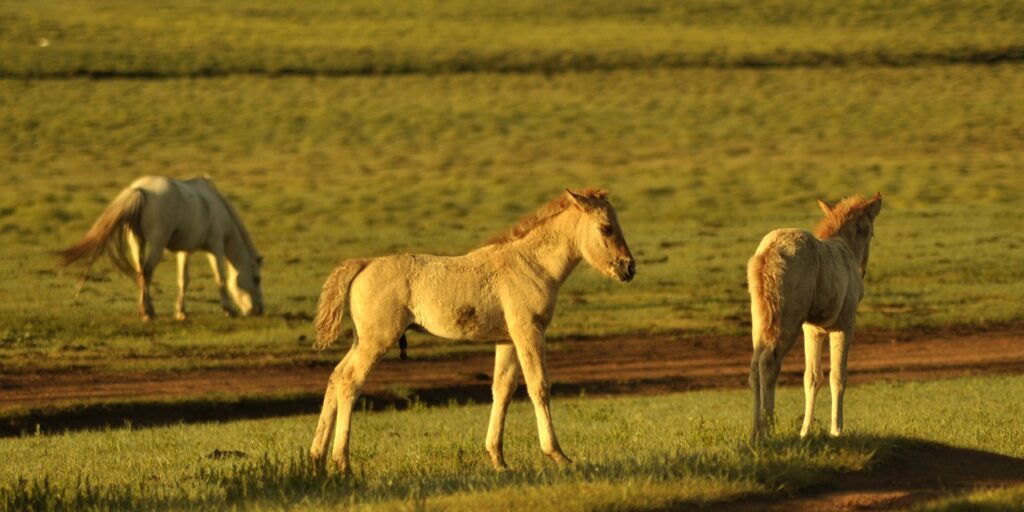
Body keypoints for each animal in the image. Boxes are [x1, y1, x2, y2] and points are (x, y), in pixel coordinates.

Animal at [59, 176, 264, 319]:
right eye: (256, 279)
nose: (259, 310)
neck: (216, 205)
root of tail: (140, 190)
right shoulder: (215, 247)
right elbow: (220, 277)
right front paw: (229, 310)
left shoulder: (185, 251)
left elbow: (183, 280)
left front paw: (181, 312)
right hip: (156, 244)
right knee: (147, 272)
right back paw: (147, 312)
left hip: (136, 242)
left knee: (141, 272)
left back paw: (147, 309)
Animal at [307, 190, 634, 473]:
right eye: (606, 228)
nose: (629, 268)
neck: (531, 263)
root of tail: (364, 263)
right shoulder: (529, 331)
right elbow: (539, 385)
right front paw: (558, 455)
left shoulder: (507, 339)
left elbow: (502, 389)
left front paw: (498, 459)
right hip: (376, 342)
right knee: (349, 382)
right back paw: (342, 463)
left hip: (362, 341)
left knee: (336, 377)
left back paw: (316, 459)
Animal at [745, 192, 880, 440]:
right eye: (869, 232)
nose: (863, 273)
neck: (845, 249)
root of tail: (770, 252)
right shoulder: (845, 324)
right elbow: (838, 376)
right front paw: (836, 430)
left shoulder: (812, 330)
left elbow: (812, 377)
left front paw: (805, 431)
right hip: (786, 323)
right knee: (769, 362)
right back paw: (766, 429)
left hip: (761, 322)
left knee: (754, 366)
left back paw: (755, 431)